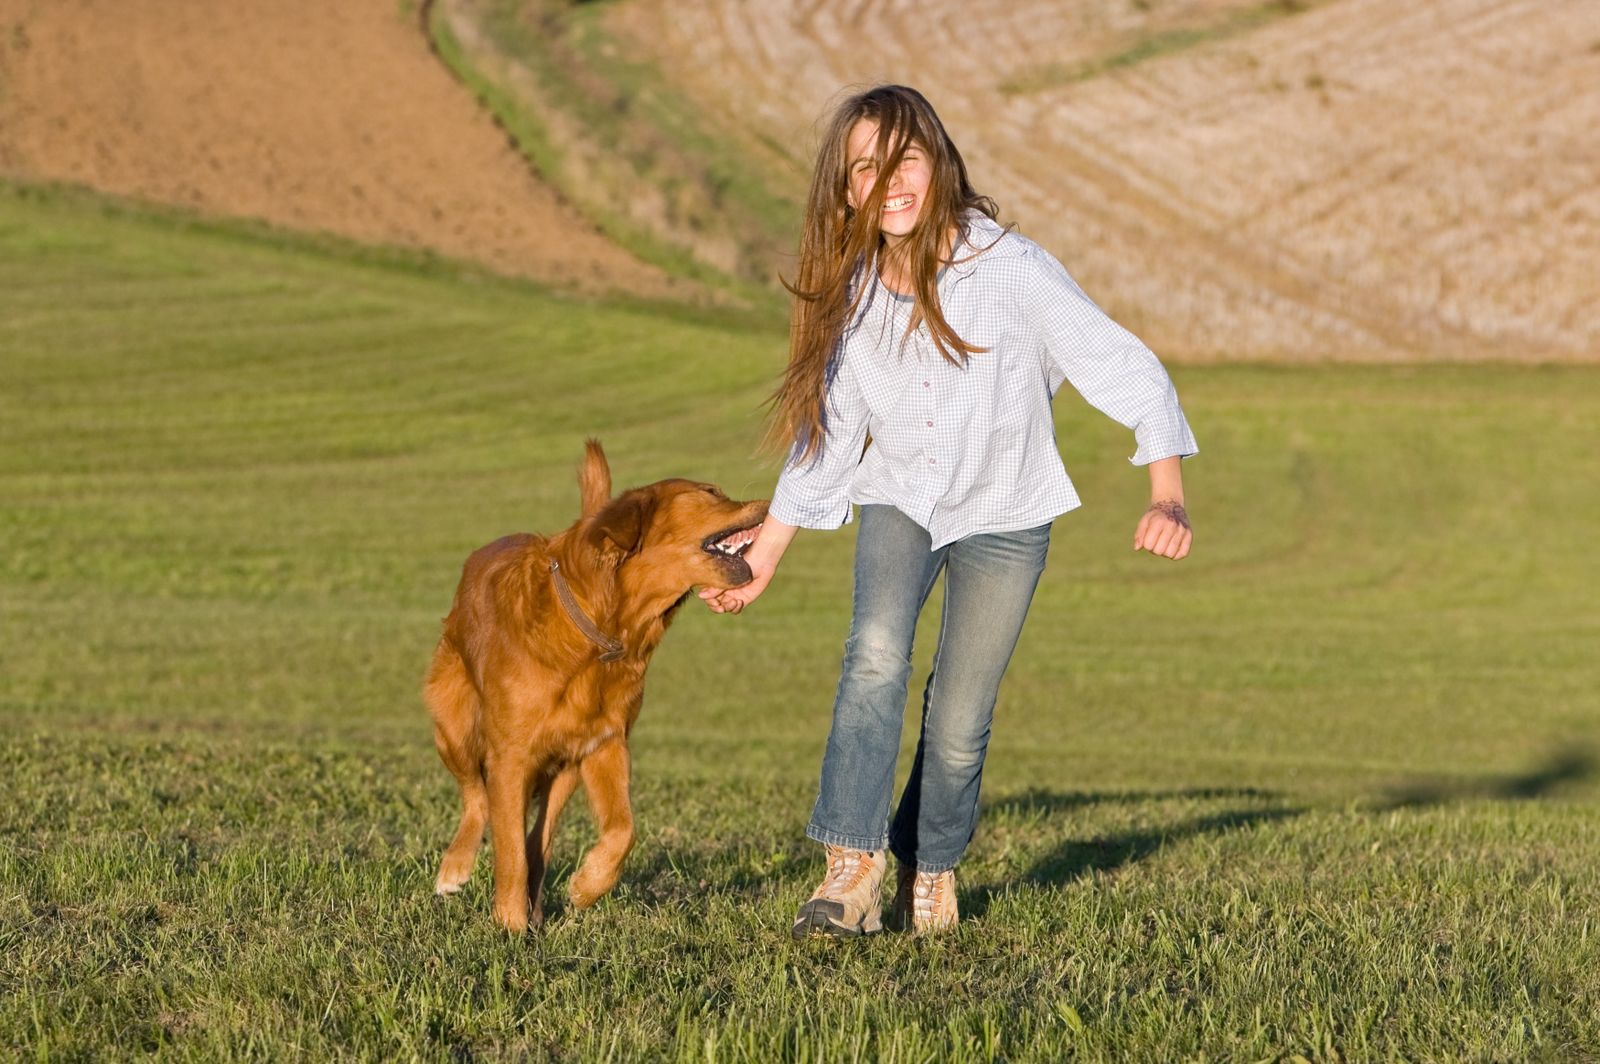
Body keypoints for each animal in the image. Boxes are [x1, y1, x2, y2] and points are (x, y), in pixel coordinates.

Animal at [422, 438, 764, 928]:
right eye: (710, 492)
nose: (769, 501)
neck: (601, 628)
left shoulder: (603, 744)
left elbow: (622, 829)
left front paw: (585, 886)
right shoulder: (510, 757)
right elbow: (509, 849)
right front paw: (509, 925)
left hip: (563, 768)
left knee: (538, 838)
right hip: (455, 728)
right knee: (477, 798)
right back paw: (456, 868)